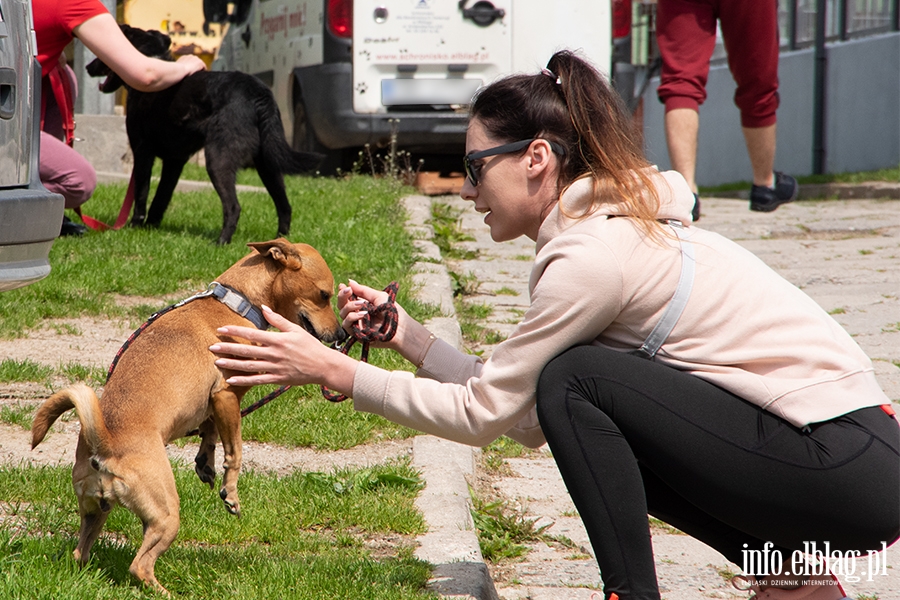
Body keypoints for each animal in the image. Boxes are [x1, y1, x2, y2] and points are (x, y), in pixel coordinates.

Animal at [28, 239, 344, 596]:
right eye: (324, 295)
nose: (340, 334)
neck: (236, 303)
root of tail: (103, 444)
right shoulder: (227, 395)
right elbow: (235, 451)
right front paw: (230, 492)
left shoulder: (214, 404)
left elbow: (211, 433)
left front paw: (205, 462)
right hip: (166, 515)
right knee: (140, 566)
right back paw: (165, 592)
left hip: (97, 512)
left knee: (81, 553)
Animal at [85, 23, 324, 244]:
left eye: (102, 55)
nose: (87, 67)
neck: (154, 60)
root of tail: (258, 92)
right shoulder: (175, 161)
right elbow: (162, 196)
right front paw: (152, 226)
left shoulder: (143, 152)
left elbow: (141, 193)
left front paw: (135, 226)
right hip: (268, 163)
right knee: (285, 206)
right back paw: (280, 243)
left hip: (218, 159)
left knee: (234, 207)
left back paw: (221, 242)